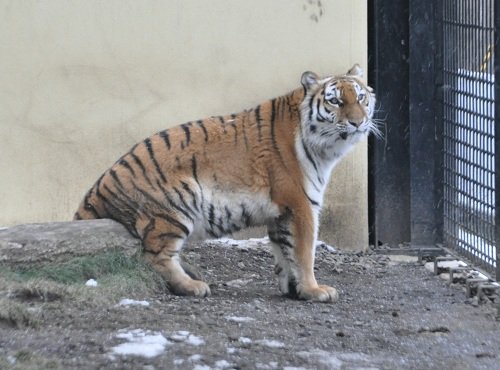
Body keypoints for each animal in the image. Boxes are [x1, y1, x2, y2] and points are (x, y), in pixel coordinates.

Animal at [74, 63, 376, 300]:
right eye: (335, 101)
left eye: (361, 98)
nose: (358, 122)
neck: (324, 149)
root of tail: (95, 191)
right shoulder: (300, 204)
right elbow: (304, 252)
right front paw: (315, 290)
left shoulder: (282, 213)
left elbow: (285, 252)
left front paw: (294, 289)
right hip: (176, 205)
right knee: (155, 256)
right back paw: (193, 286)